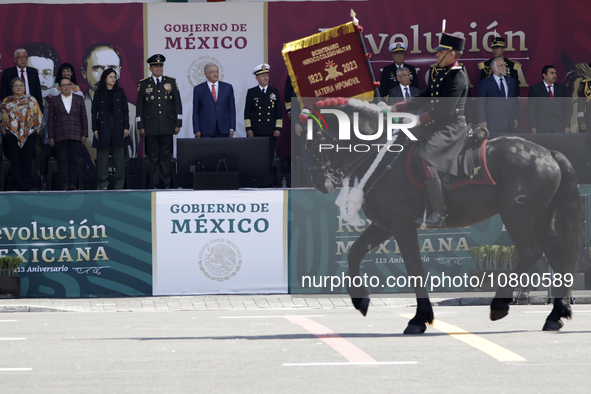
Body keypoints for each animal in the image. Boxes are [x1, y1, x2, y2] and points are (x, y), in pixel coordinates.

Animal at [308, 101, 580, 332]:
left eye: (318, 138)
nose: (319, 183)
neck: (384, 157)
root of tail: (548, 153)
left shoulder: (401, 226)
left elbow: (415, 268)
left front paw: (419, 319)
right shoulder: (384, 225)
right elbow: (354, 253)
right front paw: (361, 300)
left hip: (516, 216)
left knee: (529, 252)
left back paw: (500, 305)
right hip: (539, 218)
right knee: (556, 257)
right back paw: (555, 315)